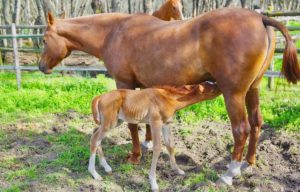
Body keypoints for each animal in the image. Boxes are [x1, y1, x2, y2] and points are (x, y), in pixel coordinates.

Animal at [88, 82, 220, 191]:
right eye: (212, 89)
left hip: (114, 122)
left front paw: (178, 170)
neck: (168, 98)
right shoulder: (155, 122)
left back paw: (106, 167)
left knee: (95, 134)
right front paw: (153, 183)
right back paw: (94, 173)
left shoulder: (166, 124)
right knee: (94, 139)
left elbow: (170, 146)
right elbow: (157, 147)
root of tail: (100, 97)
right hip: (109, 123)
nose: (219, 84)